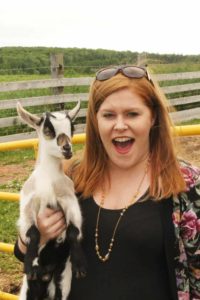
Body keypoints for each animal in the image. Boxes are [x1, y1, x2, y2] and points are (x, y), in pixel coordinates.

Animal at [16, 102, 86, 298]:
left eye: (72, 128)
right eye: (48, 129)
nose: (67, 149)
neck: (48, 181)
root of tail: (46, 275)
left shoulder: (69, 201)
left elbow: (73, 231)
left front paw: (79, 264)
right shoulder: (27, 204)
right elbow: (33, 232)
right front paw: (29, 263)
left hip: (61, 283)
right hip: (27, 291)